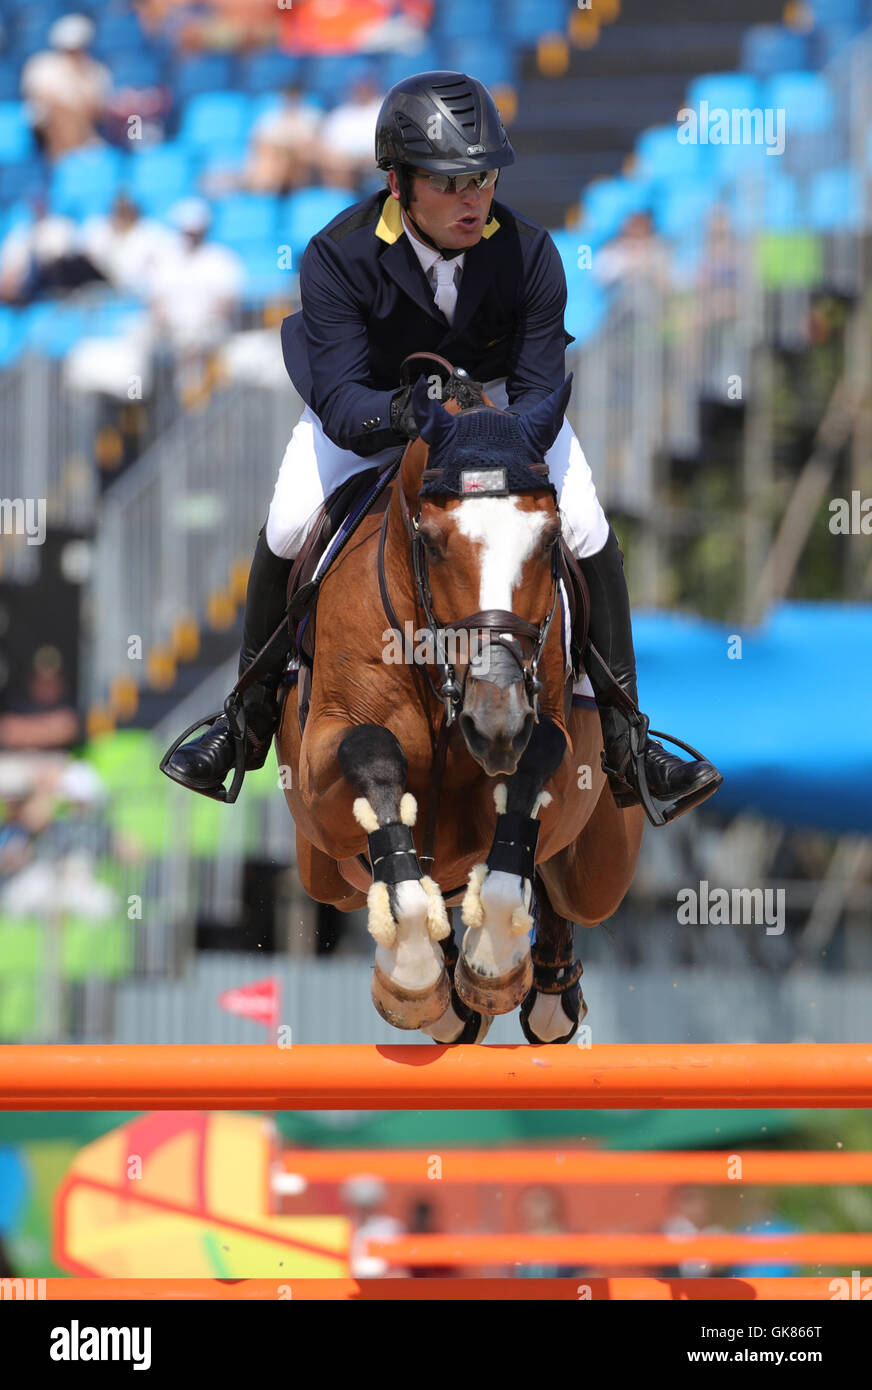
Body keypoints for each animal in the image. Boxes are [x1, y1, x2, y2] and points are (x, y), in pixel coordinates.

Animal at [276, 369, 645, 1045]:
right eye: (433, 541)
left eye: (550, 540)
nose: (495, 723)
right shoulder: (321, 778)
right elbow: (373, 758)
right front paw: (414, 970)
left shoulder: (546, 743)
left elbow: (531, 779)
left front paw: (493, 957)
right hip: (325, 874)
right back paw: (450, 1000)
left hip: (602, 866)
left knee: (564, 894)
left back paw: (548, 995)